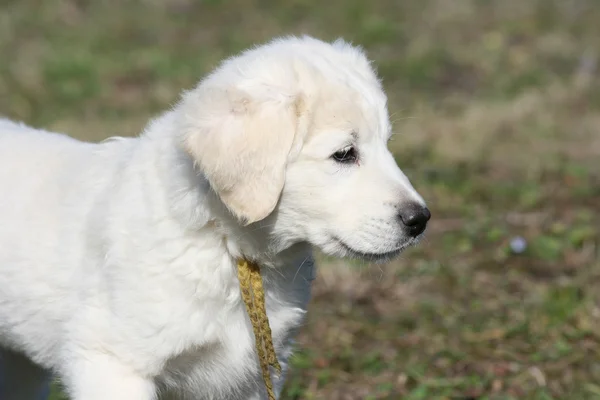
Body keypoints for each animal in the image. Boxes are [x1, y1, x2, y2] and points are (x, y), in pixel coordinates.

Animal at [1, 36, 432, 398]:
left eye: (386, 145)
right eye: (344, 154)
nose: (421, 220)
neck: (224, 246)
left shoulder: (252, 376)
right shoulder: (111, 361)